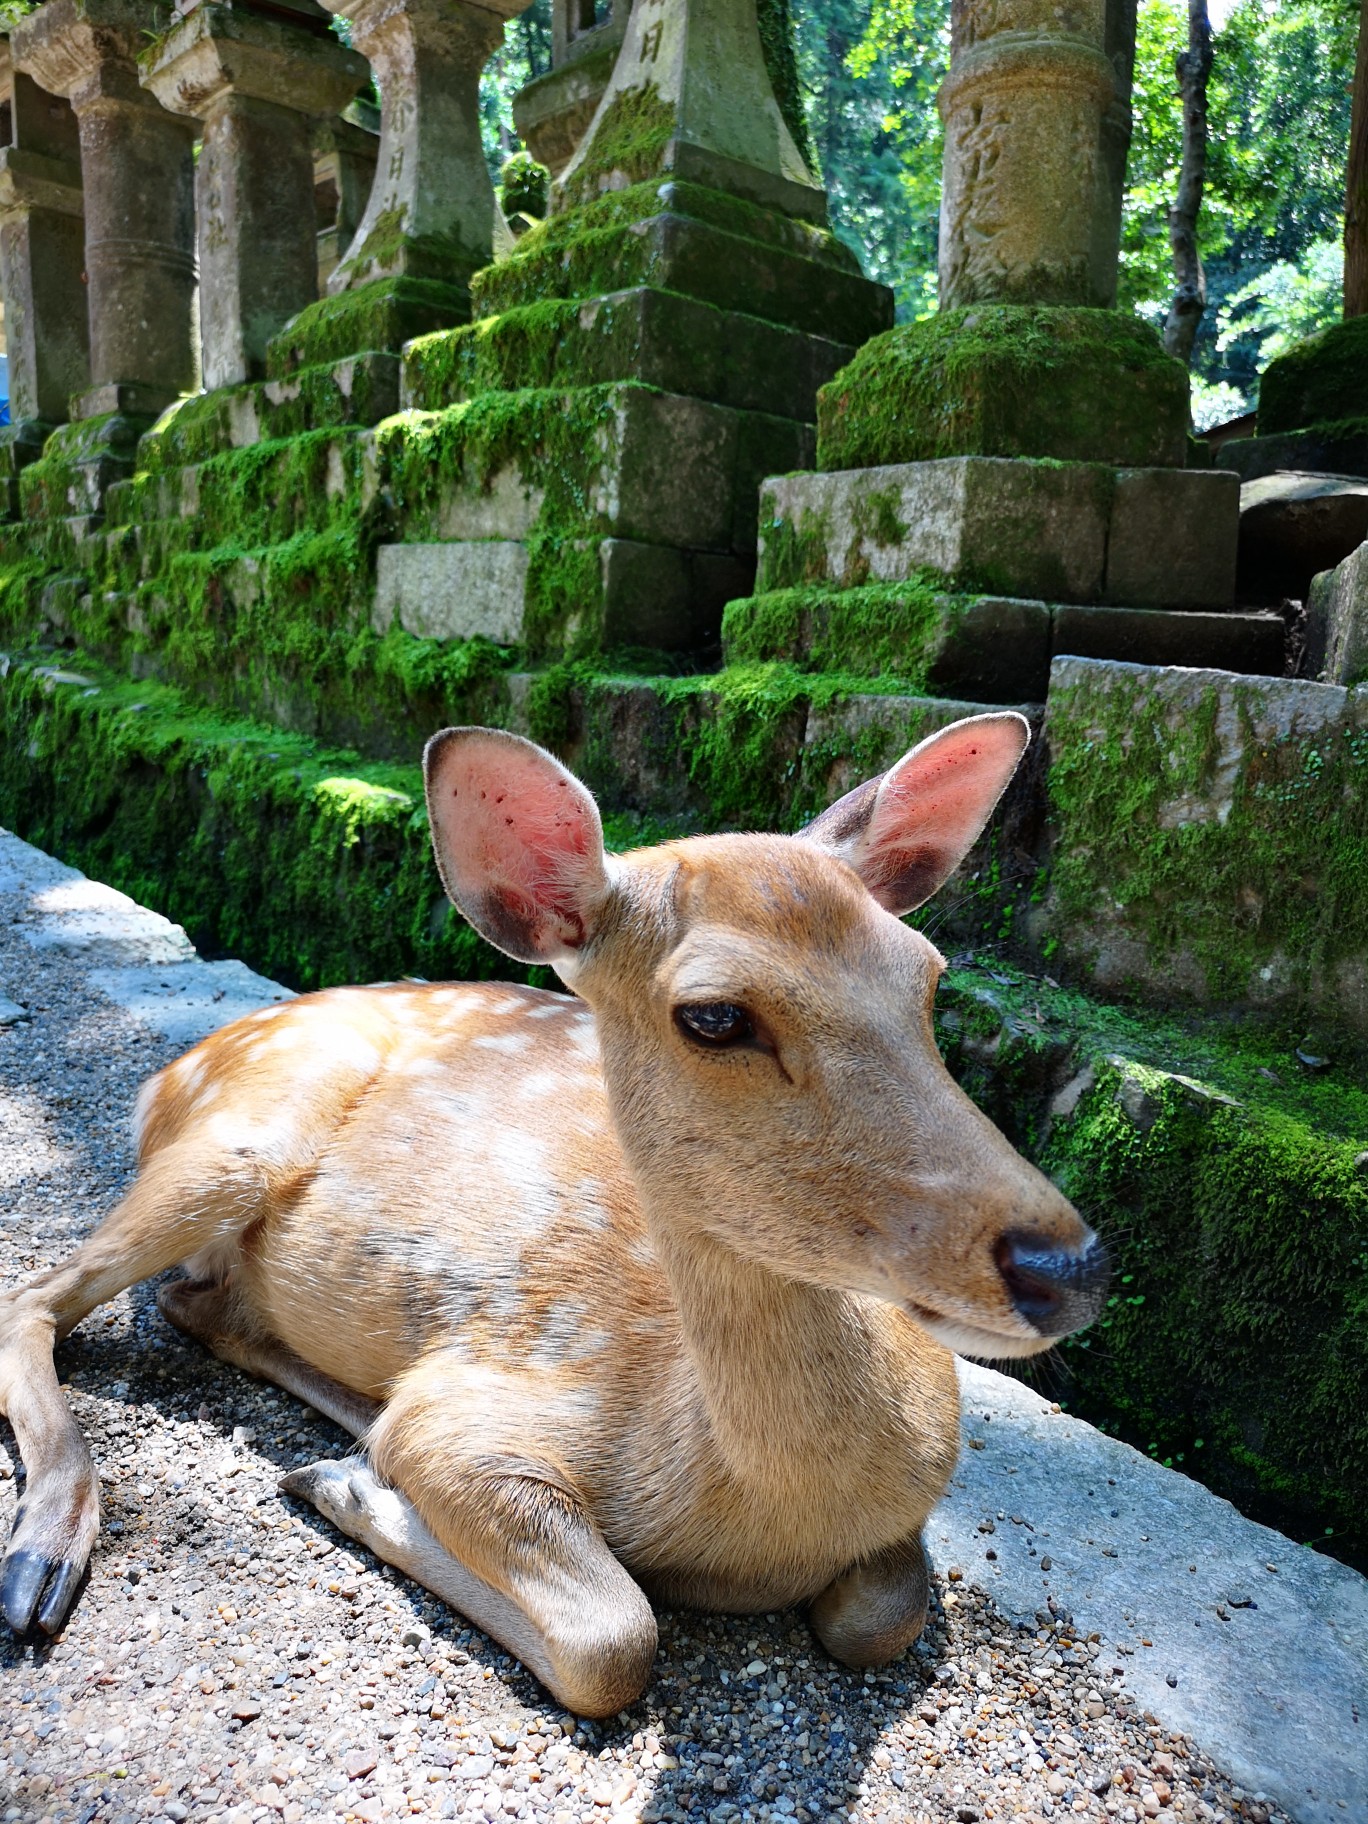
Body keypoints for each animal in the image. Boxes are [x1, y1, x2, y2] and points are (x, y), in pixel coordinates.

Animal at [0, 707, 1108, 1707]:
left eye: (927, 975)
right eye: (715, 1016)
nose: (1069, 1265)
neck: (756, 1514)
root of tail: (167, 1073)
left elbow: (881, 1617)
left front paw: (352, 1473)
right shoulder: (476, 1415)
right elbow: (615, 1641)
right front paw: (358, 1487)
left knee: (193, 1303)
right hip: (234, 1142)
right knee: (40, 1298)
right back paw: (47, 1564)